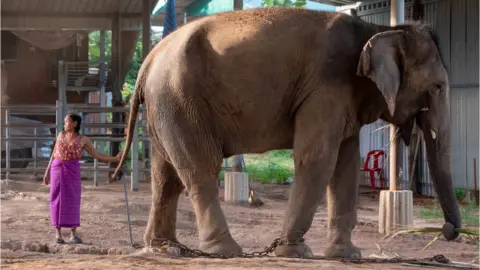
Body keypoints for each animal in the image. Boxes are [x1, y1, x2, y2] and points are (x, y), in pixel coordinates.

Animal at [111, 7, 462, 258]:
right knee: (199, 169)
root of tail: (149, 58)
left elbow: (347, 165)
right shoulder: (327, 87)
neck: (380, 31)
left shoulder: (343, 97)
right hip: (180, 99)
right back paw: (225, 251)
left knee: (166, 177)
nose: (448, 231)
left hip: (164, 107)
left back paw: (165, 249)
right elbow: (317, 159)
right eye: (438, 87)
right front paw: (294, 252)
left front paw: (346, 255)